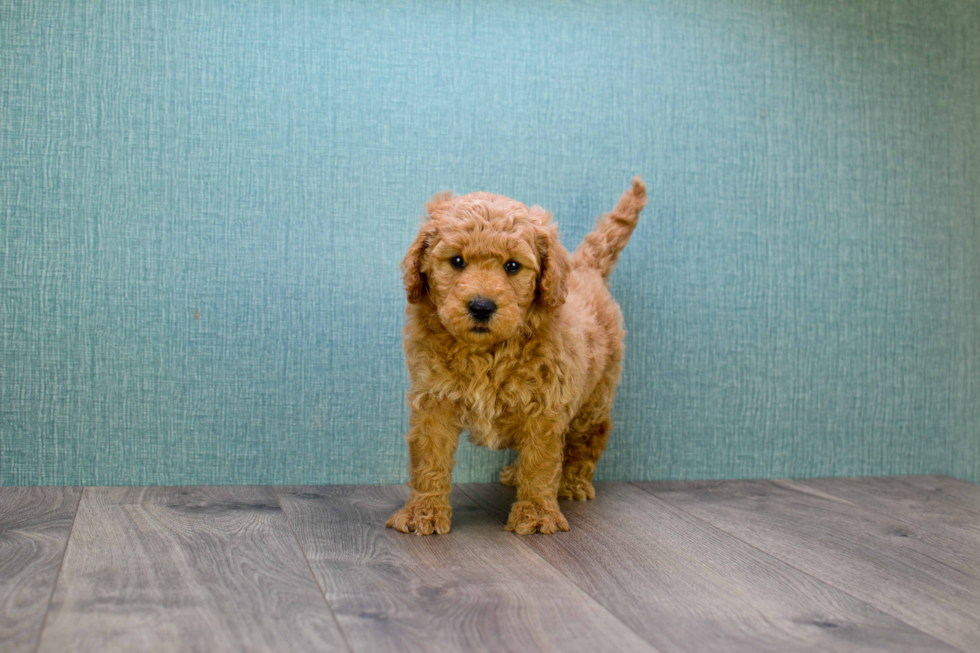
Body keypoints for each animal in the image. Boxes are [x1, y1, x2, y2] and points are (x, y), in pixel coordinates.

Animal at [386, 176, 648, 532]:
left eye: (512, 266)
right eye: (457, 261)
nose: (481, 306)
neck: (486, 351)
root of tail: (584, 267)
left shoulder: (546, 406)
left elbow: (540, 461)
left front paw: (536, 513)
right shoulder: (433, 400)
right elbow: (429, 458)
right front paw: (423, 511)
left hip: (596, 395)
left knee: (587, 439)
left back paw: (573, 483)